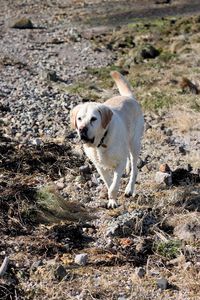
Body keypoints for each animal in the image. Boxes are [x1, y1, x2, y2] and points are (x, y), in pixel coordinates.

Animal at [70, 72, 144, 209]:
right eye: (79, 118)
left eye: (93, 119)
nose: (82, 129)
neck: (101, 143)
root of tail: (129, 97)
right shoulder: (99, 166)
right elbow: (109, 183)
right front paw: (111, 199)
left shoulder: (119, 163)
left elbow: (114, 186)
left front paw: (113, 201)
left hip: (135, 144)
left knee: (135, 169)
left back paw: (129, 189)